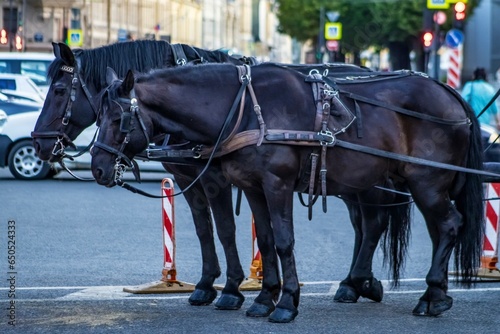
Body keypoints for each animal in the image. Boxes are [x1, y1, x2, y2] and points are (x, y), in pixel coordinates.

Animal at [32, 41, 410, 308]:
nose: (39, 143)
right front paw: (205, 285)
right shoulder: (189, 180)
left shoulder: (216, 180)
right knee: (363, 224)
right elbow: (204, 230)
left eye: (59, 91)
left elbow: (226, 230)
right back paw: (356, 283)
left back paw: (357, 282)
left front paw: (231, 289)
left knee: (373, 222)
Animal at [91, 63, 484, 324]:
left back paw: (430, 296)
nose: (97, 167)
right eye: (97, 115)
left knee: (447, 225)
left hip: (427, 183)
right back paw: (417, 291)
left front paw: (285, 302)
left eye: (118, 119)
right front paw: (265, 297)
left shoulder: (274, 184)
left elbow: (280, 241)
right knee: (405, 227)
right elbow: (263, 241)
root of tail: (449, 93)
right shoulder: (252, 187)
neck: (245, 110)